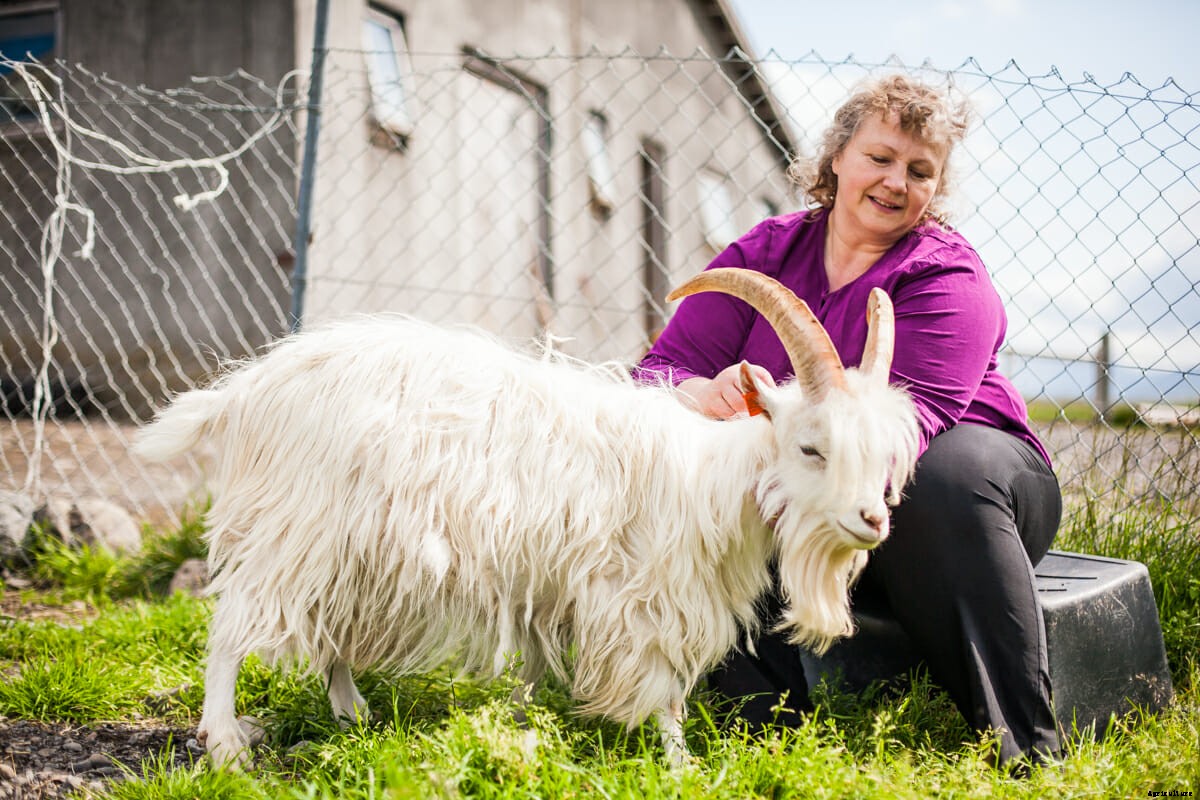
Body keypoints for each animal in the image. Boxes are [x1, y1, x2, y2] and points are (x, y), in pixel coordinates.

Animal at [133, 268, 920, 766]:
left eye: (883, 454)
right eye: (811, 447)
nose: (873, 522)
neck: (710, 483)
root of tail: (249, 389)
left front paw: (524, 725)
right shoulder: (642, 600)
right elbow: (665, 691)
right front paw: (681, 765)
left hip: (352, 545)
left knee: (328, 627)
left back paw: (352, 712)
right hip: (298, 525)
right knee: (233, 623)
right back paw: (225, 742)